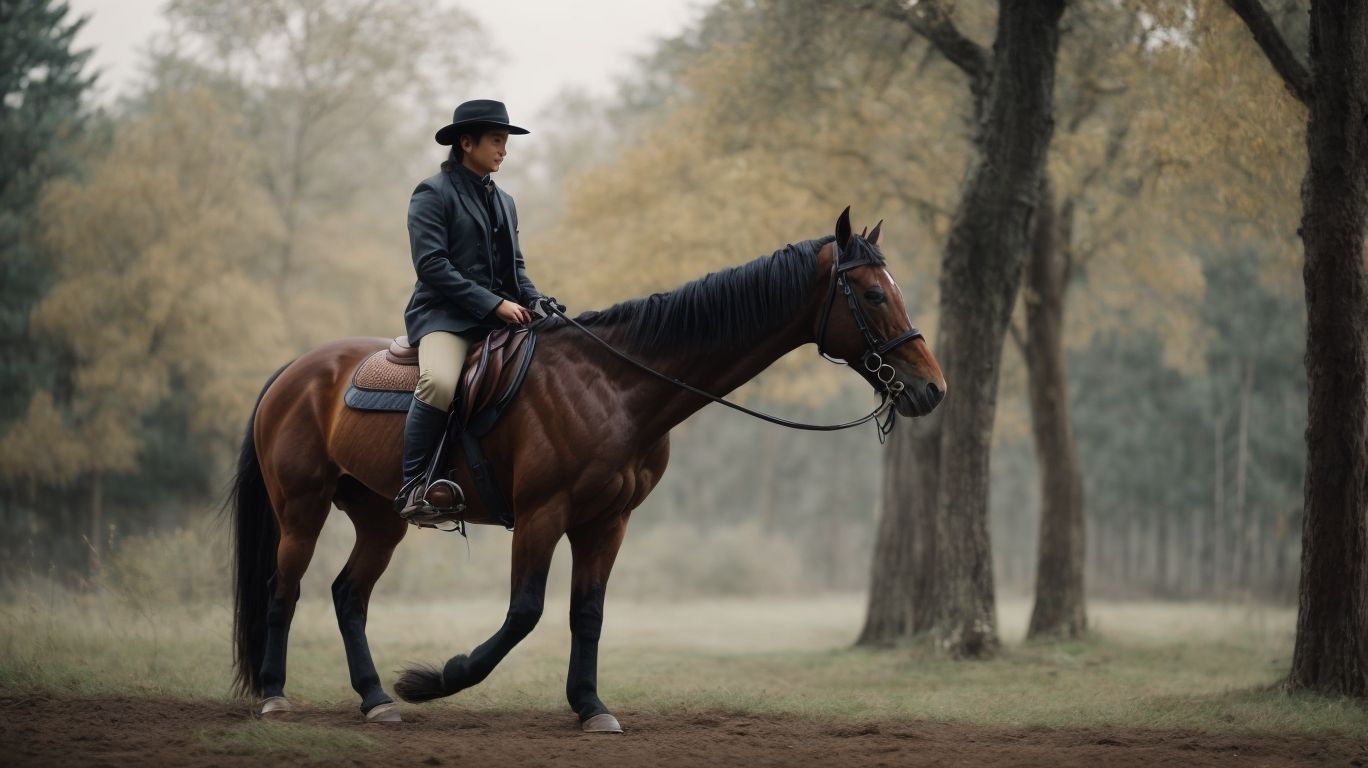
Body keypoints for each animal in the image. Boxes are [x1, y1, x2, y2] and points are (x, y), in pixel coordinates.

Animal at [226, 208, 947, 730]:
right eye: (873, 295)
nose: (931, 389)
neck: (618, 384)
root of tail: (295, 372)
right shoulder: (542, 515)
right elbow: (524, 613)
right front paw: (438, 679)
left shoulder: (607, 521)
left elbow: (587, 613)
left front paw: (590, 706)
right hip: (302, 510)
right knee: (284, 590)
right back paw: (276, 695)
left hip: (380, 517)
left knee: (348, 595)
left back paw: (376, 699)